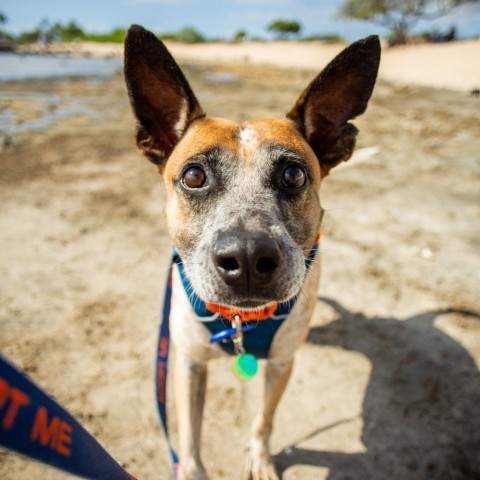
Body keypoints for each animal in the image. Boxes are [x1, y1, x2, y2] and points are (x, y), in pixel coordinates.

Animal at [125, 26, 380, 480]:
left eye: (293, 174)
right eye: (194, 176)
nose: (245, 259)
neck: (239, 322)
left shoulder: (281, 364)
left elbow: (264, 419)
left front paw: (260, 459)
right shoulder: (187, 365)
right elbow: (189, 440)